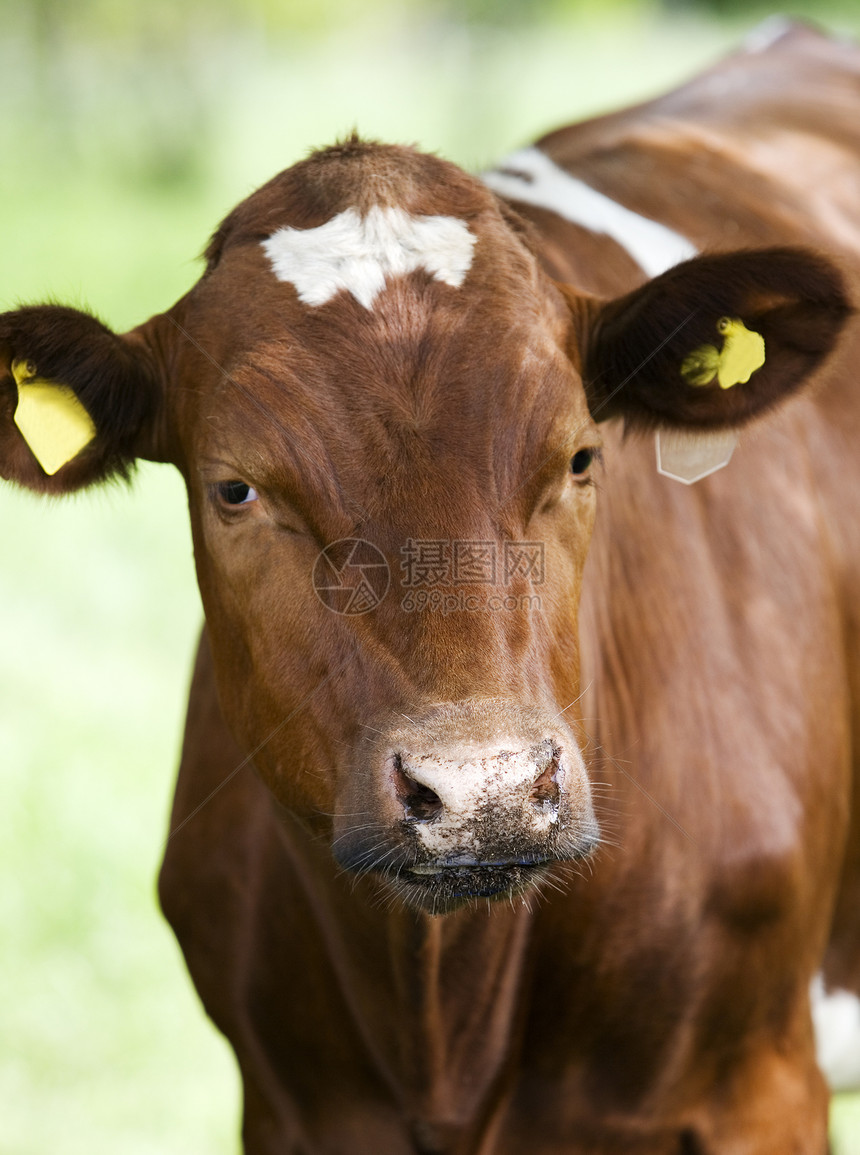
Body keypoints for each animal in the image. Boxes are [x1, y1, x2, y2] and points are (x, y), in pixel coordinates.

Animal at [1, 18, 858, 1155]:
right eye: (235, 487)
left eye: (580, 455)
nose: (483, 794)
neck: (441, 1014)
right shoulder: (289, 1108)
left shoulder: (757, 1091)